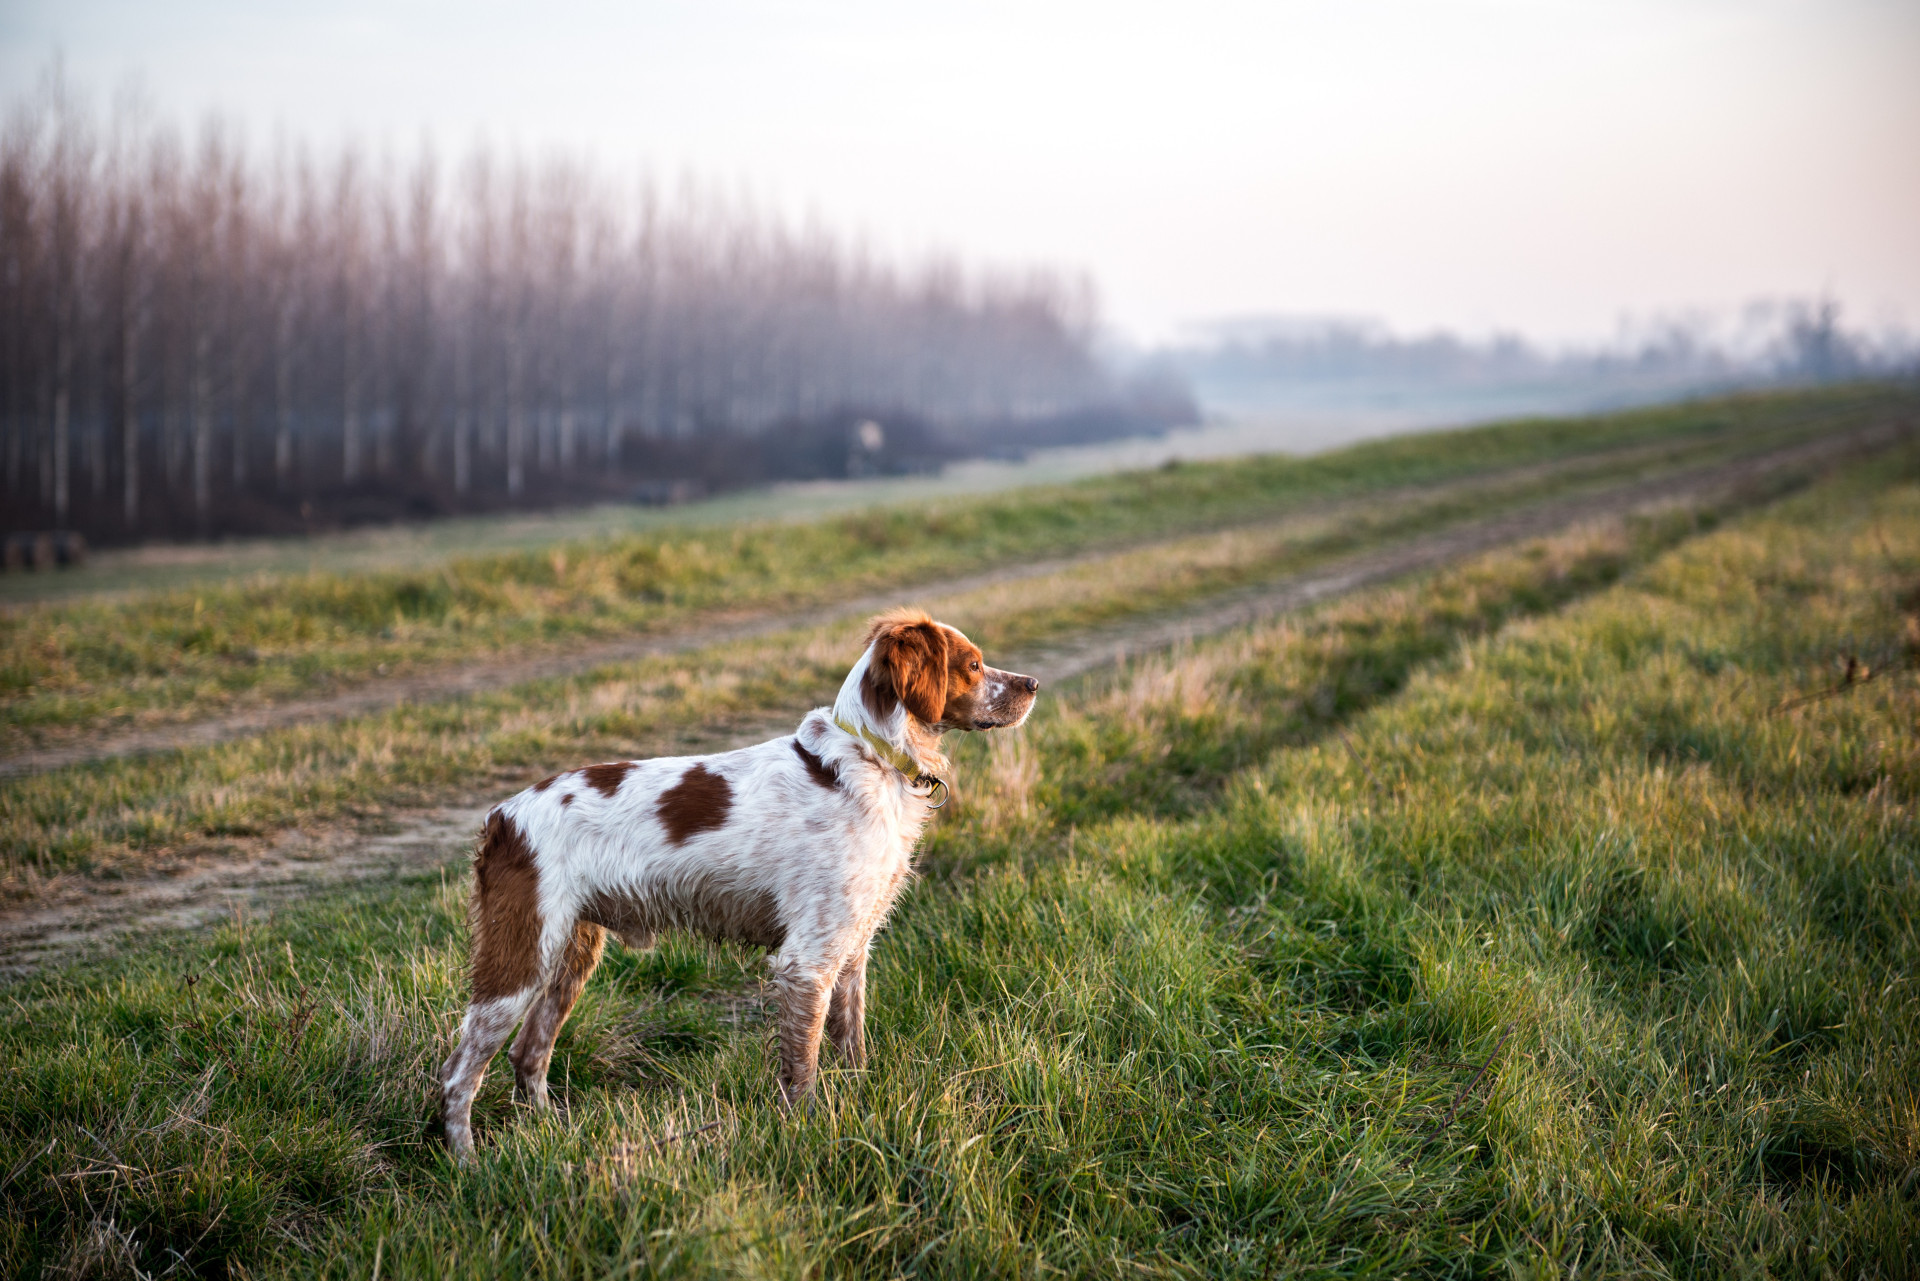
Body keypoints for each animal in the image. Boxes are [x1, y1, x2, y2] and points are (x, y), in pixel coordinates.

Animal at [439, 610, 1036, 1160]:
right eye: (973, 665)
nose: (1032, 684)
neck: (872, 759)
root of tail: (501, 818)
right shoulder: (807, 962)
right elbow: (802, 1069)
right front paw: (806, 1136)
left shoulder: (850, 951)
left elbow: (852, 1046)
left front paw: (861, 1104)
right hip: (519, 961)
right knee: (458, 1074)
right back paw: (468, 1164)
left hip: (570, 957)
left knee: (528, 1053)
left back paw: (552, 1136)